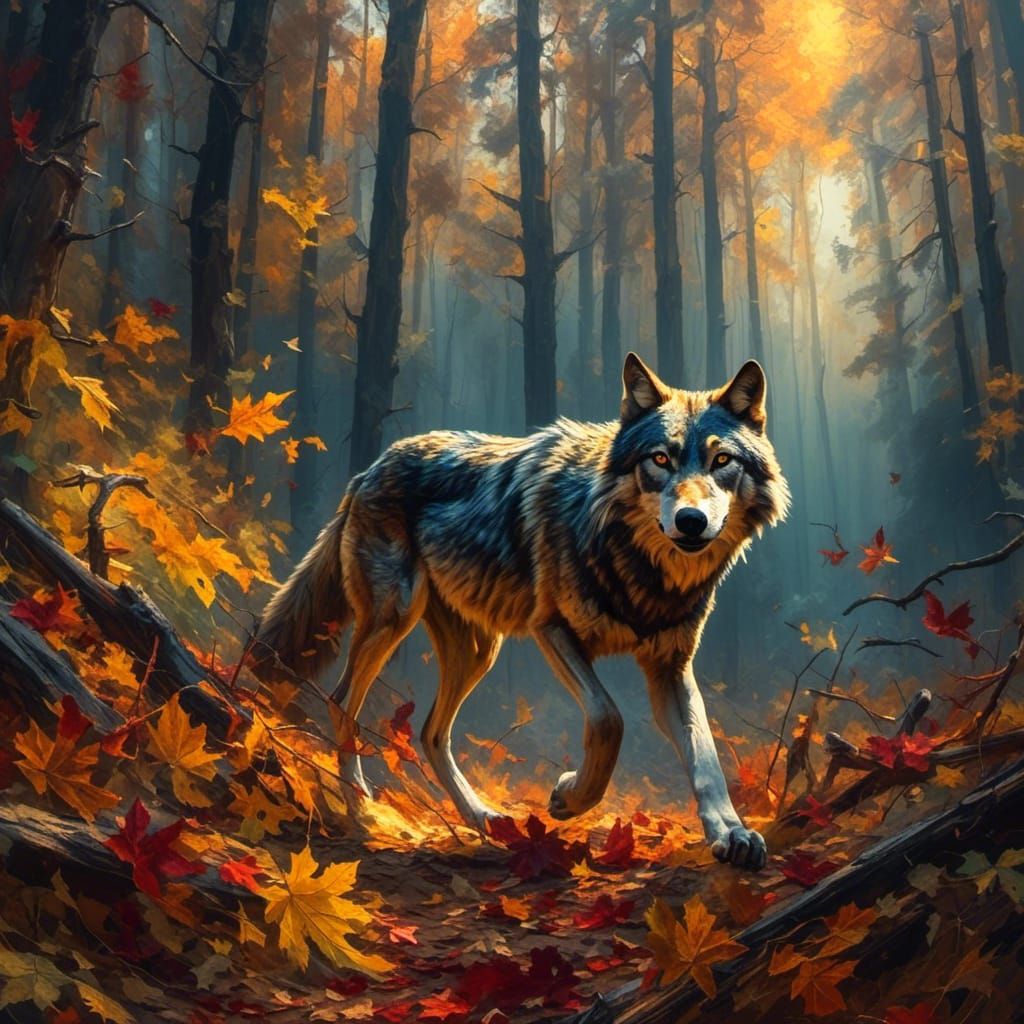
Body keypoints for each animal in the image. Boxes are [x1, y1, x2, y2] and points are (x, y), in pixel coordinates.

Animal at [254, 354, 789, 869]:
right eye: (660, 459)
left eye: (722, 460)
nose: (691, 521)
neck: (638, 568)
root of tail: (368, 470)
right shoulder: (551, 629)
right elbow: (608, 717)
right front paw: (570, 798)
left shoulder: (670, 667)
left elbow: (705, 757)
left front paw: (731, 833)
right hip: (396, 616)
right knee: (341, 701)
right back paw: (362, 809)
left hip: (477, 651)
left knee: (430, 732)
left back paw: (483, 820)